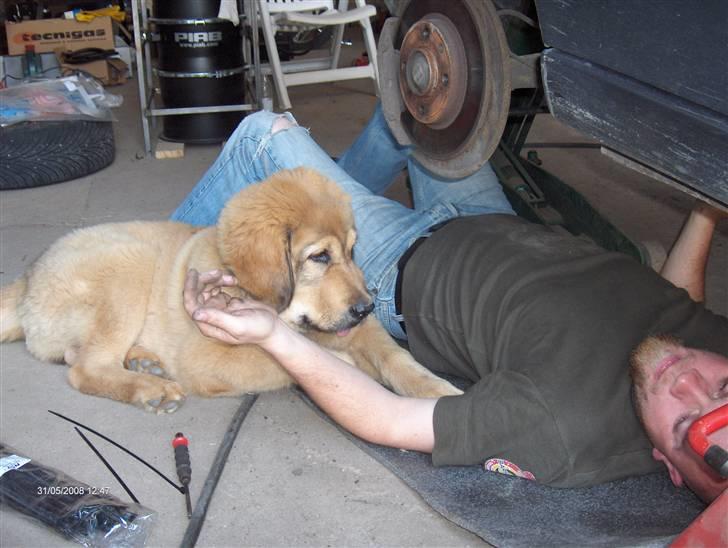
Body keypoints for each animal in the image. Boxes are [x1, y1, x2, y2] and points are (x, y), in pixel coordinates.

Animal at [0, 169, 458, 414]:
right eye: (319, 257)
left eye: (350, 252)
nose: (365, 307)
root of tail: (27, 280)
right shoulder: (208, 358)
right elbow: (287, 359)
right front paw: (345, 364)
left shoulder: (357, 330)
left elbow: (397, 357)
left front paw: (440, 392)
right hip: (127, 263)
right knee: (84, 367)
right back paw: (150, 388)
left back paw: (145, 363)